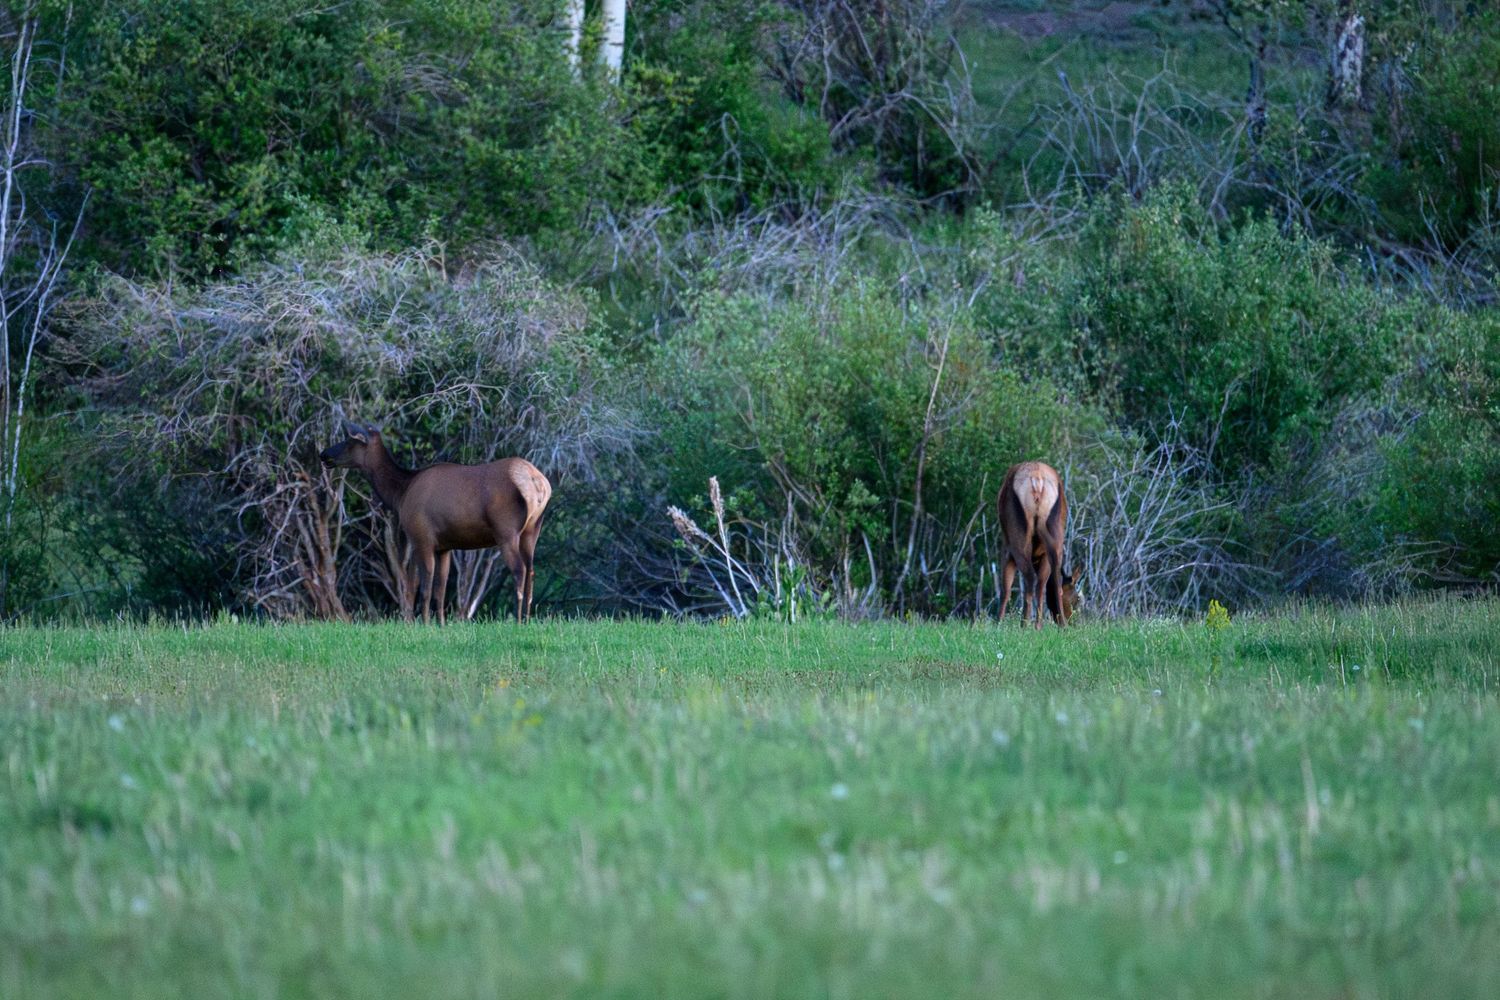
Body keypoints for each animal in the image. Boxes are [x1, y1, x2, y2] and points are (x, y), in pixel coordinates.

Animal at [319, 420, 551, 625]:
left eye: (349, 441)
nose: (324, 455)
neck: (400, 494)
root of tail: (538, 484)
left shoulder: (421, 537)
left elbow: (423, 587)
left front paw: (425, 624)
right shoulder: (444, 547)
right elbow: (440, 589)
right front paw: (441, 624)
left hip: (506, 531)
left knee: (519, 569)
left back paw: (518, 620)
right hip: (532, 530)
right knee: (531, 570)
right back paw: (527, 619)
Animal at [997, 460, 1079, 628]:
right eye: (1076, 599)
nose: (1072, 621)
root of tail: (1037, 480)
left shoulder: (1007, 547)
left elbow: (1005, 588)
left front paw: (997, 624)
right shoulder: (1042, 554)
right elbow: (1043, 585)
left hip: (1018, 538)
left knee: (1029, 577)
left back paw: (1024, 625)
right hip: (1054, 530)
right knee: (1050, 578)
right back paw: (1045, 625)